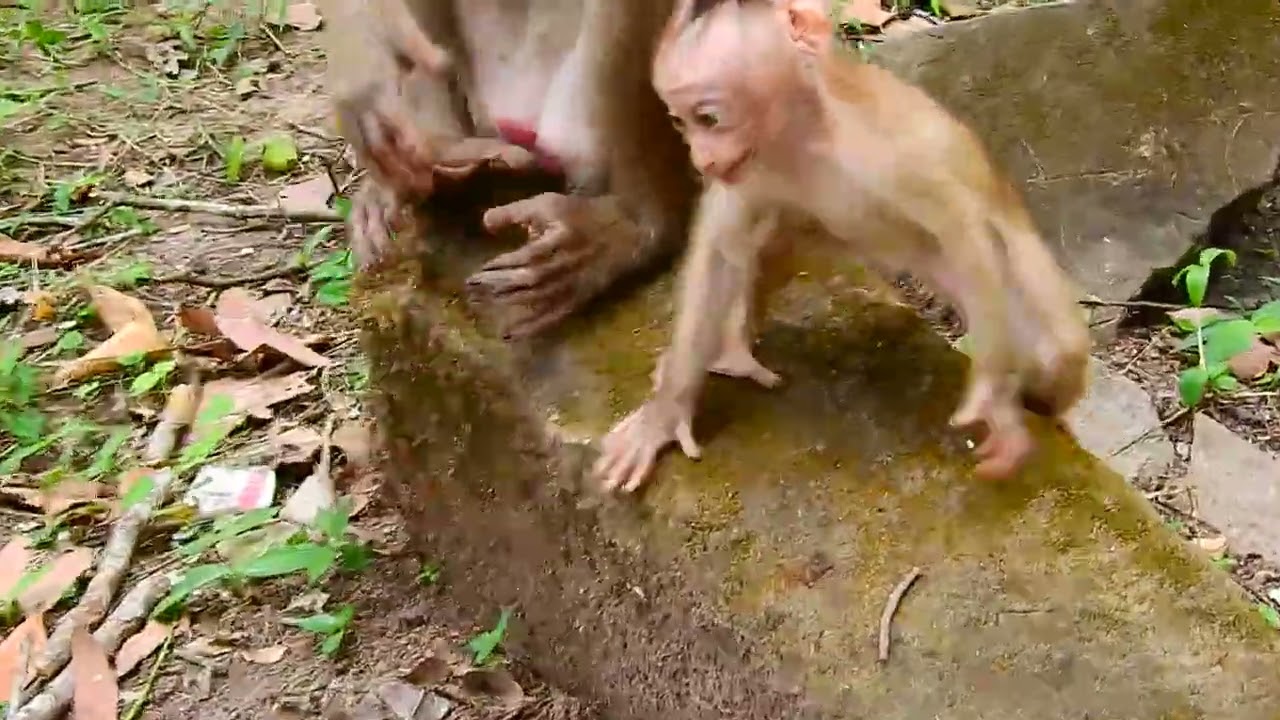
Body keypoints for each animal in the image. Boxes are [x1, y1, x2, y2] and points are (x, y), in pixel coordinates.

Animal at [592, 0, 1091, 493]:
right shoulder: (753, 169)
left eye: (708, 119)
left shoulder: (895, 156)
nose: (702, 159)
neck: (808, 136)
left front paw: (992, 397)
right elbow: (721, 244)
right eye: (680, 122)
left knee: (1054, 348)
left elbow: (962, 229)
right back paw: (733, 346)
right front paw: (666, 410)